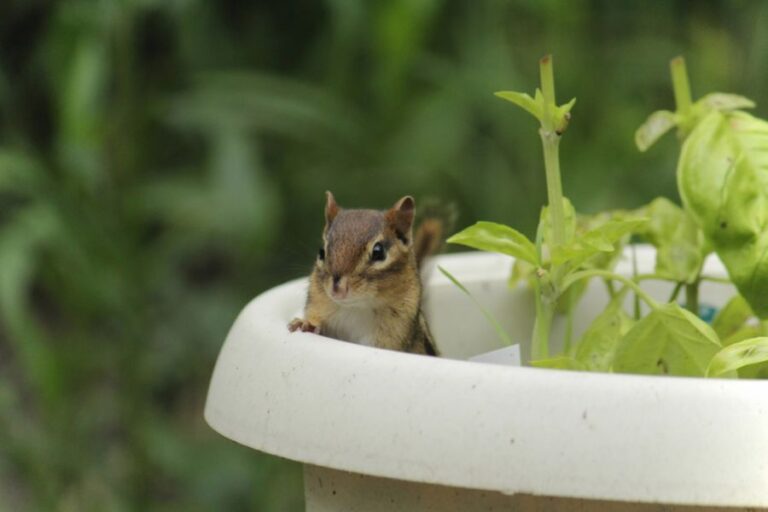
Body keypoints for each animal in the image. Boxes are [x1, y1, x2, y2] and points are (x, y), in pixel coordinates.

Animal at [287, 191, 441, 356]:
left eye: (378, 252)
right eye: (321, 252)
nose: (337, 289)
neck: (355, 309)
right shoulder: (318, 302)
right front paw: (306, 323)